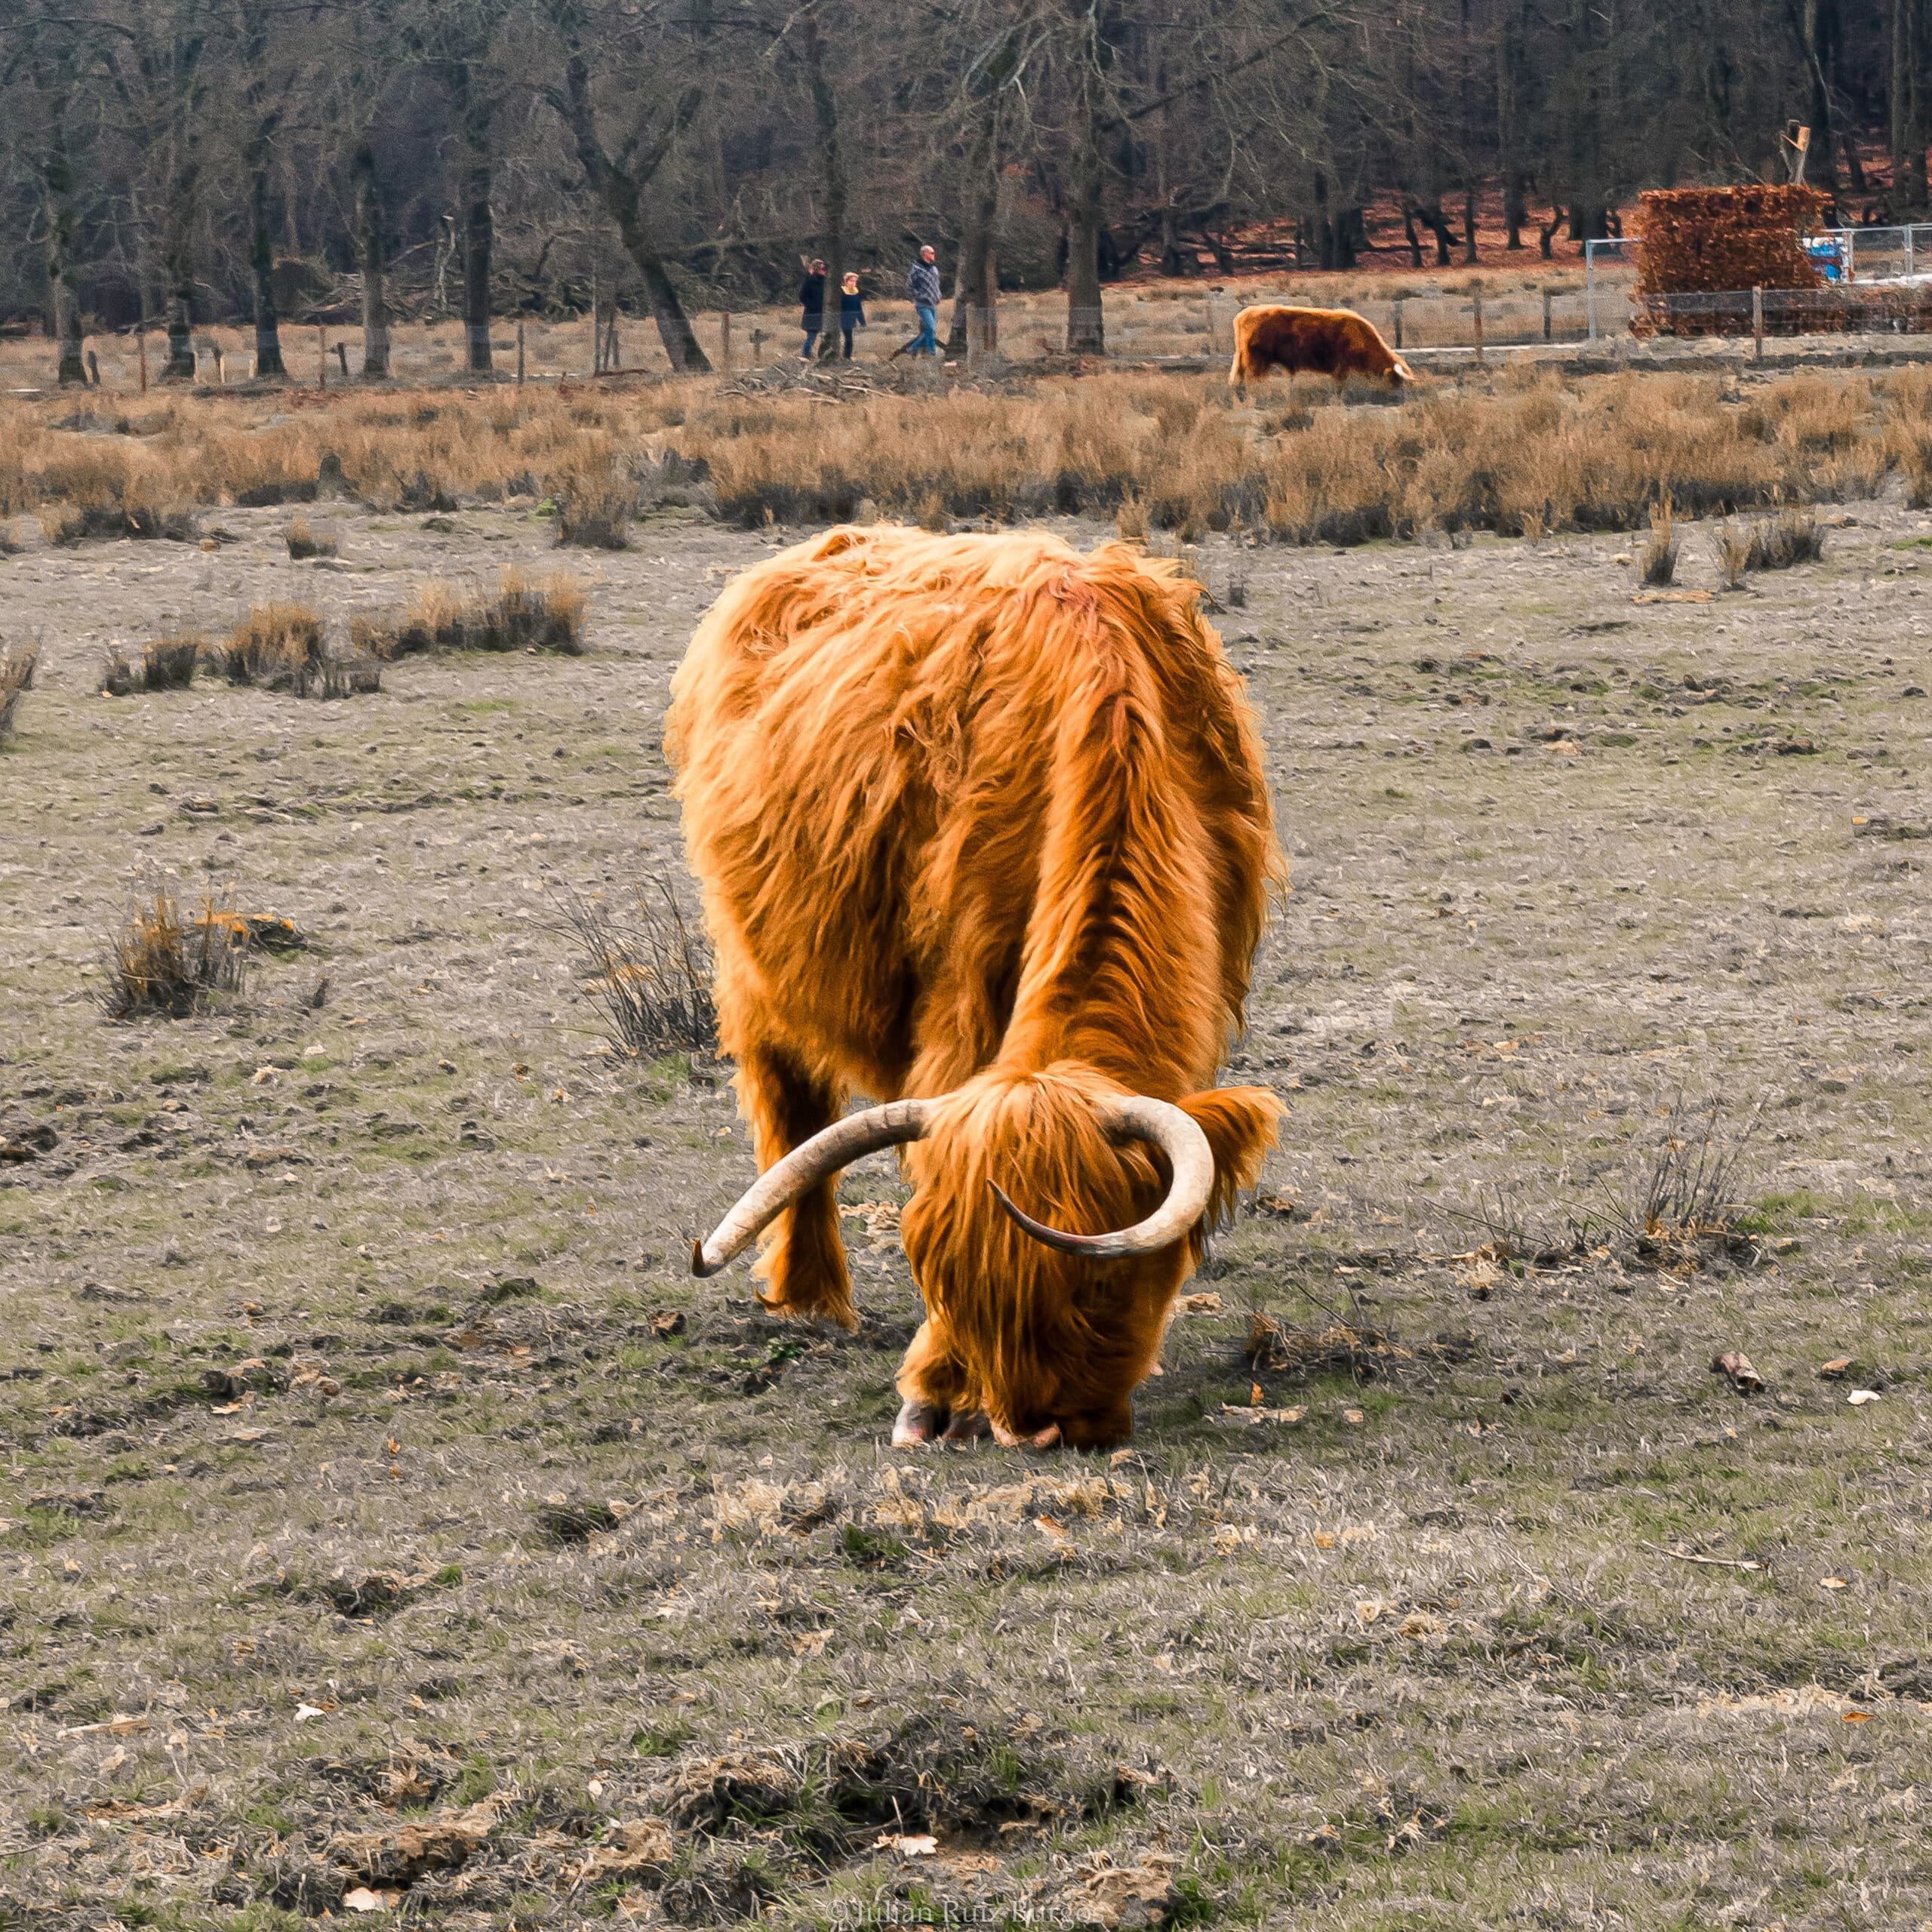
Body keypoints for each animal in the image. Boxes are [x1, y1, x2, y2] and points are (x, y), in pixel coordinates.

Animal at [668, 527, 1282, 1451]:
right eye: (943, 1274)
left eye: (1098, 1286)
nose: (1040, 1428)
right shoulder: (960, 987)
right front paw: (931, 1393)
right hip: (756, 959)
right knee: (792, 1106)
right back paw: (810, 1297)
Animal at [1228, 304, 1412, 390]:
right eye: (1395, 382)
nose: (1397, 398)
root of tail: (1244, 315)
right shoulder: (1341, 367)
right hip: (1256, 361)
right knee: (1253, 379)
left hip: (1245, 360)